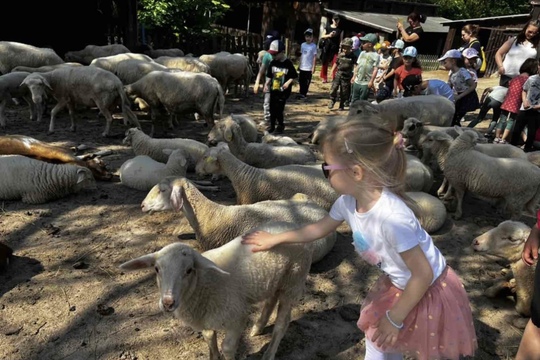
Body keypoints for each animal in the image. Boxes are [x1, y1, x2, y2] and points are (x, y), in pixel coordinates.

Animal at [118, 221, 312, 360]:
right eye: (157, 269)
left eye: (189, 270)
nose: (168, 303)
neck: (202, 284)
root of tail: (291, 225)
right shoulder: (206, 317)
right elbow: (209, 338)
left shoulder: (236, 316)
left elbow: (227, 348)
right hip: (277, 280)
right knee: (271, 300)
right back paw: (257, 328)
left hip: (293, 280)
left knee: (282, 323)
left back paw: (269, 354)